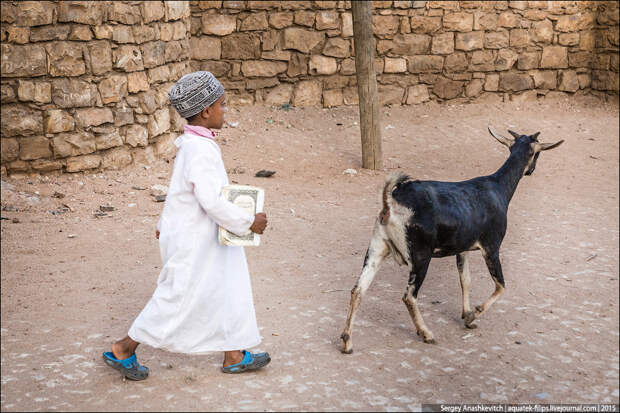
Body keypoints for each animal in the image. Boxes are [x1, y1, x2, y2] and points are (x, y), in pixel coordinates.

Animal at [342, 127, 564, 352]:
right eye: (536, 153)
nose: (530, 170)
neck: (498, 188)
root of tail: (390, 202)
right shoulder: (491, 246)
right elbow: (501, 285)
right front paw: (474, 314)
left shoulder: (463, 248)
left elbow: (465, 280)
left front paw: (466, 316)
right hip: (420, 256)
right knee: (409, 296)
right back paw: (427, 333)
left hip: (377, 248)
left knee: (357, 290)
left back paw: (347, 341)